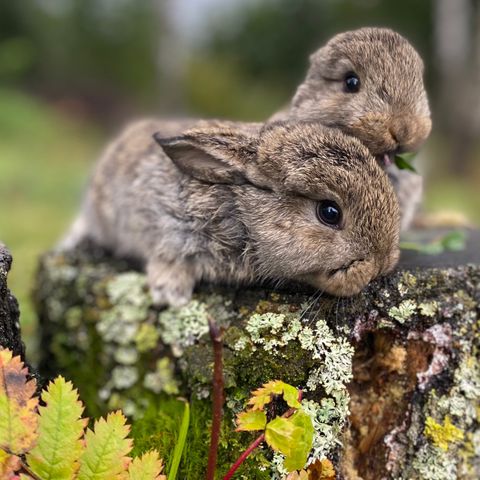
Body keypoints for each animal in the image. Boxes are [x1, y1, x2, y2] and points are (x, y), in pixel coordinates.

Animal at [63, 120, 402, 308]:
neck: (241, 212)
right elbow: (169, 258)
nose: (381, 264)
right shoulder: (167, 226)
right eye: (330, 213)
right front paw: (170, 294)